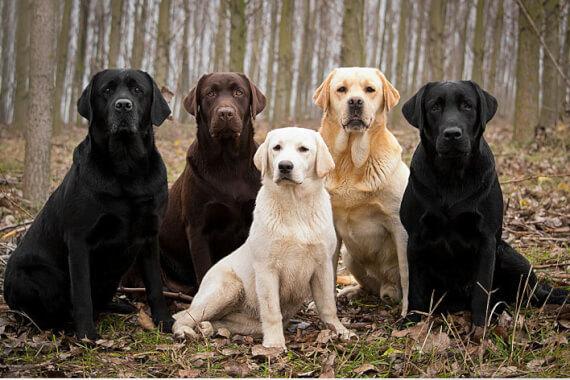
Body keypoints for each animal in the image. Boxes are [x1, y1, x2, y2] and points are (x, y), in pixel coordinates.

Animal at [3, 70, 173, 340]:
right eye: (107, 90)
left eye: (137, 90)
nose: (123, 105)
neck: (126, 166)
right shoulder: (79, 240)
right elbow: (82, 293)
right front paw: (86, 335)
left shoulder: (150, 234)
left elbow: (155, 285)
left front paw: (164, 322)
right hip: (36, 276)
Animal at [171, 127, 352, 350]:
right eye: (277, 148)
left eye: (303, 149)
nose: (284, 166)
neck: (294, 206)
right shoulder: (267, 269)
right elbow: (272, 310)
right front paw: (274, 344)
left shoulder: (323, 265)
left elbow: (328, 305)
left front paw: (339, 330)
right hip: (228, 287)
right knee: (182, 315)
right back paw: (183, 332)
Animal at [312, 67, 406, 314]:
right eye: (341, 89)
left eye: (370, 89)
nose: (355, 101)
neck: (350, 160)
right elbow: (328, 273)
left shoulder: (400, 225)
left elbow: (408, 274)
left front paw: (409, 312)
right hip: (349, 256)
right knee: (369, 287)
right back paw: (352, 292)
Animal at [398, 81, 564, 336]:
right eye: (435, 107)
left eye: (467, 106)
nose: (452, 134)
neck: (452, 176)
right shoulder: (416, 238)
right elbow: (416, 287)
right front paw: (411, 322)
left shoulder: (487, 239)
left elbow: (481, 288)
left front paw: (479, 328)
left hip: (508, 255)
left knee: (530, 296)